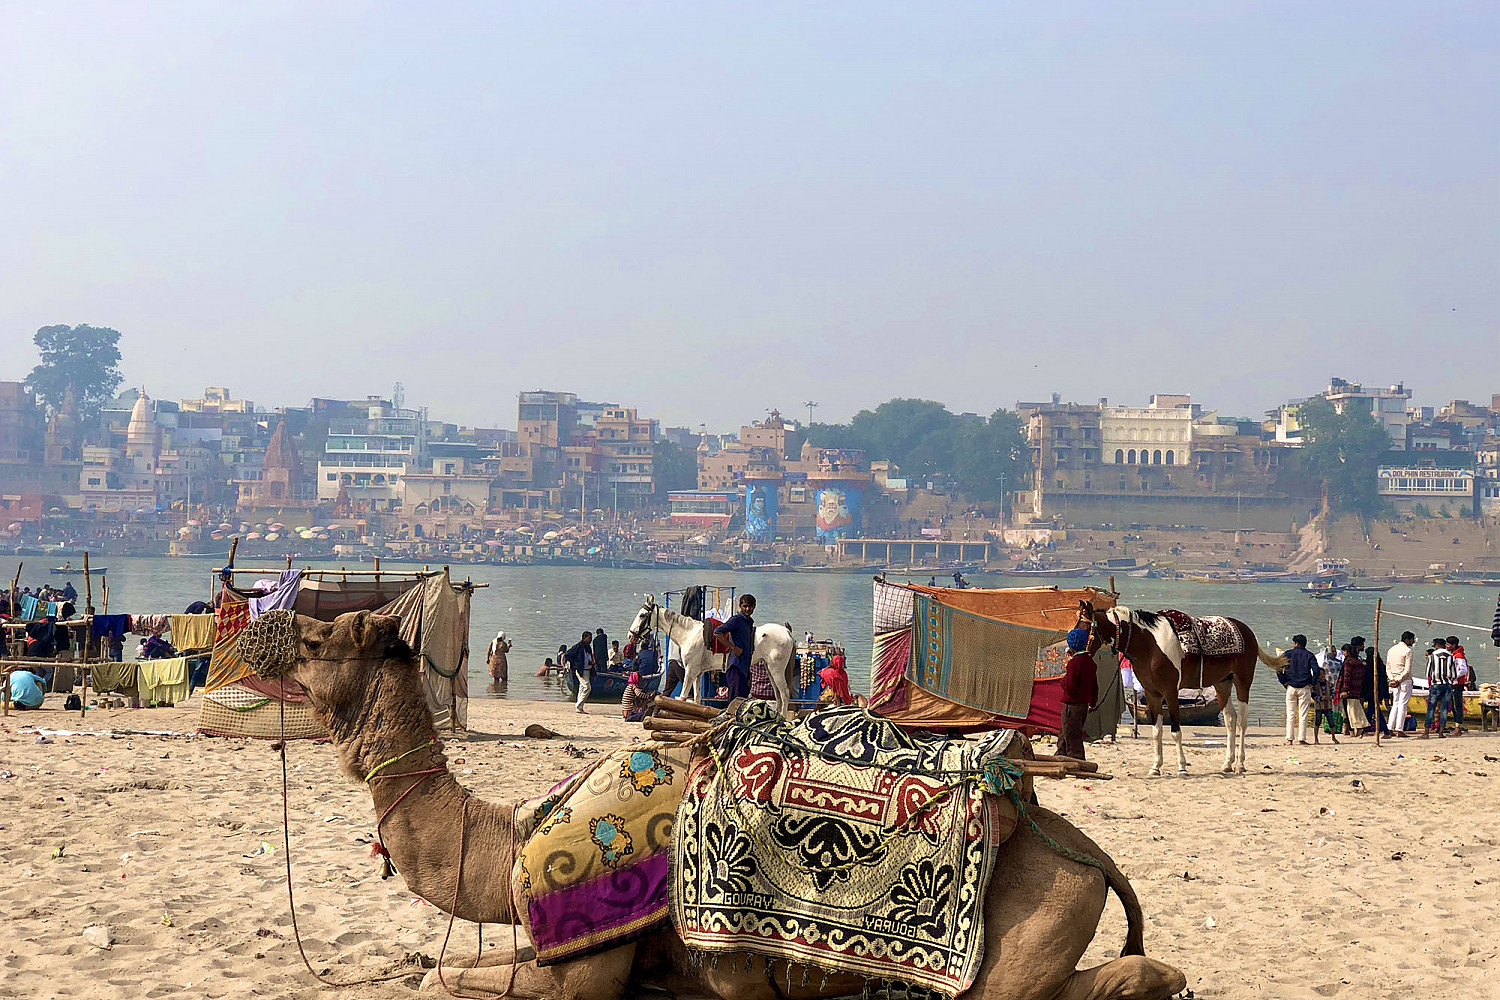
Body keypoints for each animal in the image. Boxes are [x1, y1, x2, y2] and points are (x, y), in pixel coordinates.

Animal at [253, 610, 1187, 1000]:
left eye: (325, 635)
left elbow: (444, 977)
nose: (268, 625)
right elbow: (435, 966)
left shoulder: (588, 959)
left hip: (1040, 915)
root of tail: (1097, 860)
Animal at [625, 594, 798, 717]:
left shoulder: (690, 672)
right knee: (778, 695)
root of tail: (787, 632)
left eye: (642, 615)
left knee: (784, 693)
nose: (630, 635)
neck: (689, 634)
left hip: (776, 670)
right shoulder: (698, 674)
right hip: (770, 669)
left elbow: (683, 697)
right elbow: (696, 699)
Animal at [1078, 600, 1285, 776]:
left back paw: (1240, 764)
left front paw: (1182, 767)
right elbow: (1156, 732)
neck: (1149, 645)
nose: (1072, 651)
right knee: (1230, 720)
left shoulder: (1170, 692)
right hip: (1222, 683)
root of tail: (1248, 631)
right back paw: (1227, 763)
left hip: (1243, 681)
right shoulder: (1152, 694)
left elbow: (1176, 732)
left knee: (1242, 721)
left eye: (1084, 628)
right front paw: (1156, 767)